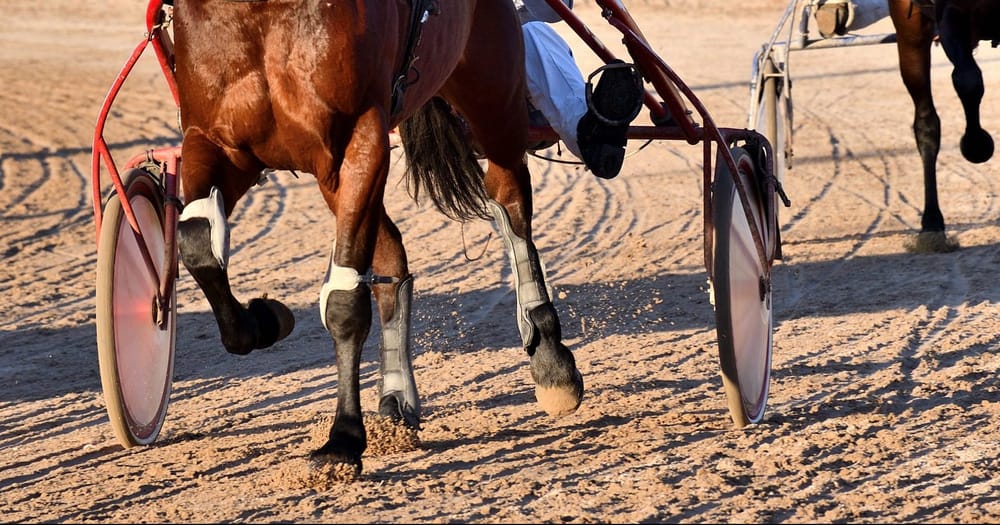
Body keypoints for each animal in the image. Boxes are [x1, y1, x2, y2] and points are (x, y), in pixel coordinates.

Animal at [170, 0, 584, 478]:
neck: (259, 15)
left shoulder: (359, 143)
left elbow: (344, 303)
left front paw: (343, 438)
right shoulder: (215, 142)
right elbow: (197, 244)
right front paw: (264, 319)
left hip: (491, 92)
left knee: (509, 200)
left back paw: (550, 356)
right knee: (392, 258)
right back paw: (397, 394)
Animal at [889, 0, 998, 251]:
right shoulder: (952, 12)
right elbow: (967, 80)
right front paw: (977, 145)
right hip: (910, 31)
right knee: (926, 124)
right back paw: (931, 224)